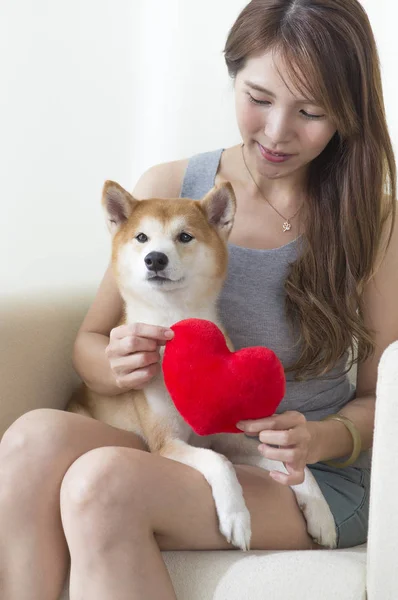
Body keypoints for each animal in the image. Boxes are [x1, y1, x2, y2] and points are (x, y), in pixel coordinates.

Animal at [67, 180, 338, 552]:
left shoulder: (227, 436)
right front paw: (237, 515)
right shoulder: (166, 443)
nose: (155, 258)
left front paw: (321, 513)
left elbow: (288, 461)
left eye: (184, 236)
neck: (176, 322)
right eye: (141, 237)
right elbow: (218, 461)